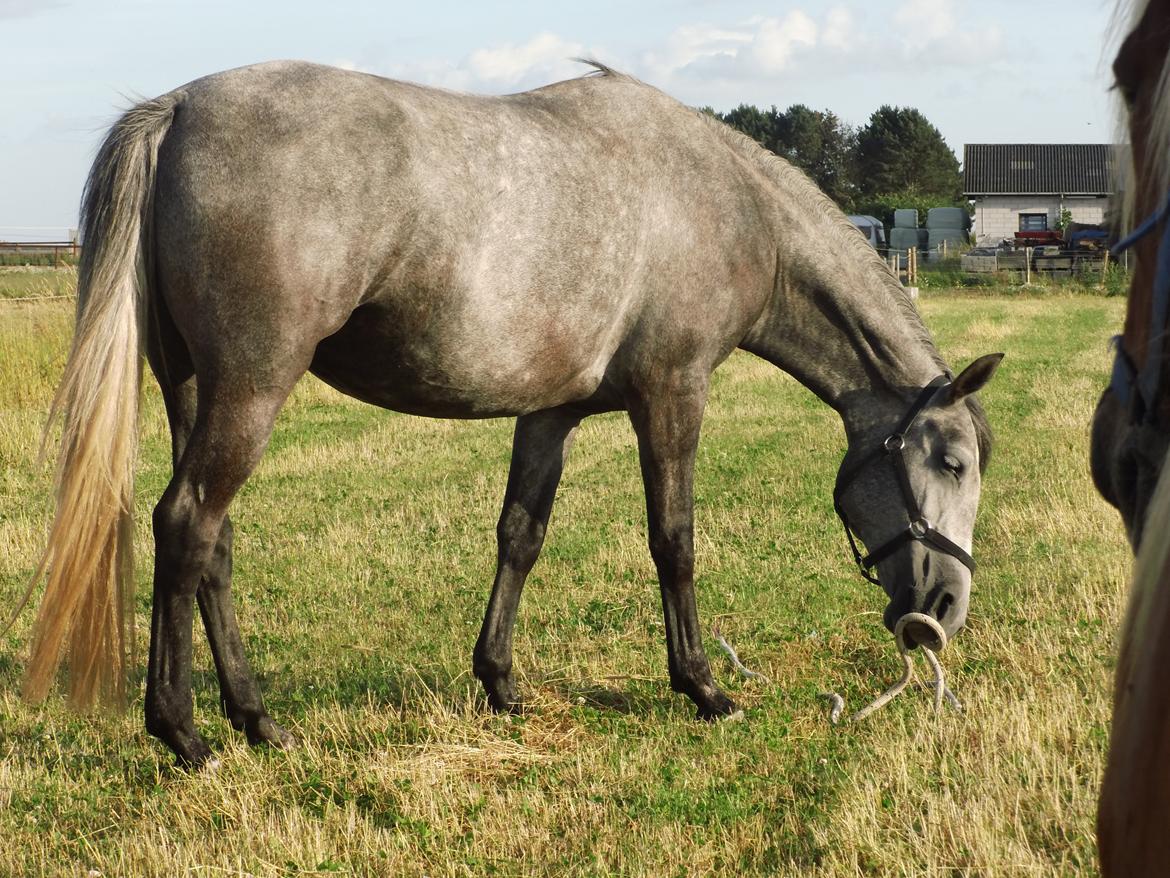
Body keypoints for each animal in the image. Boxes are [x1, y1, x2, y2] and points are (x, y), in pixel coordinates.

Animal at [22, 62, 996, 767]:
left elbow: (520, 535)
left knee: (212, 547)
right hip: (252, 388)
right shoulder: (673, 395)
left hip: (194, 389)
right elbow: (673, 540)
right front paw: (702, 688)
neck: (722, 203)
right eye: (950, 461)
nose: (943, 611)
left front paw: (500, 683)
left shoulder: (551, 413)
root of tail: (179, 107)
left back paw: (257, 720)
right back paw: (183, 732)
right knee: (186, 524)